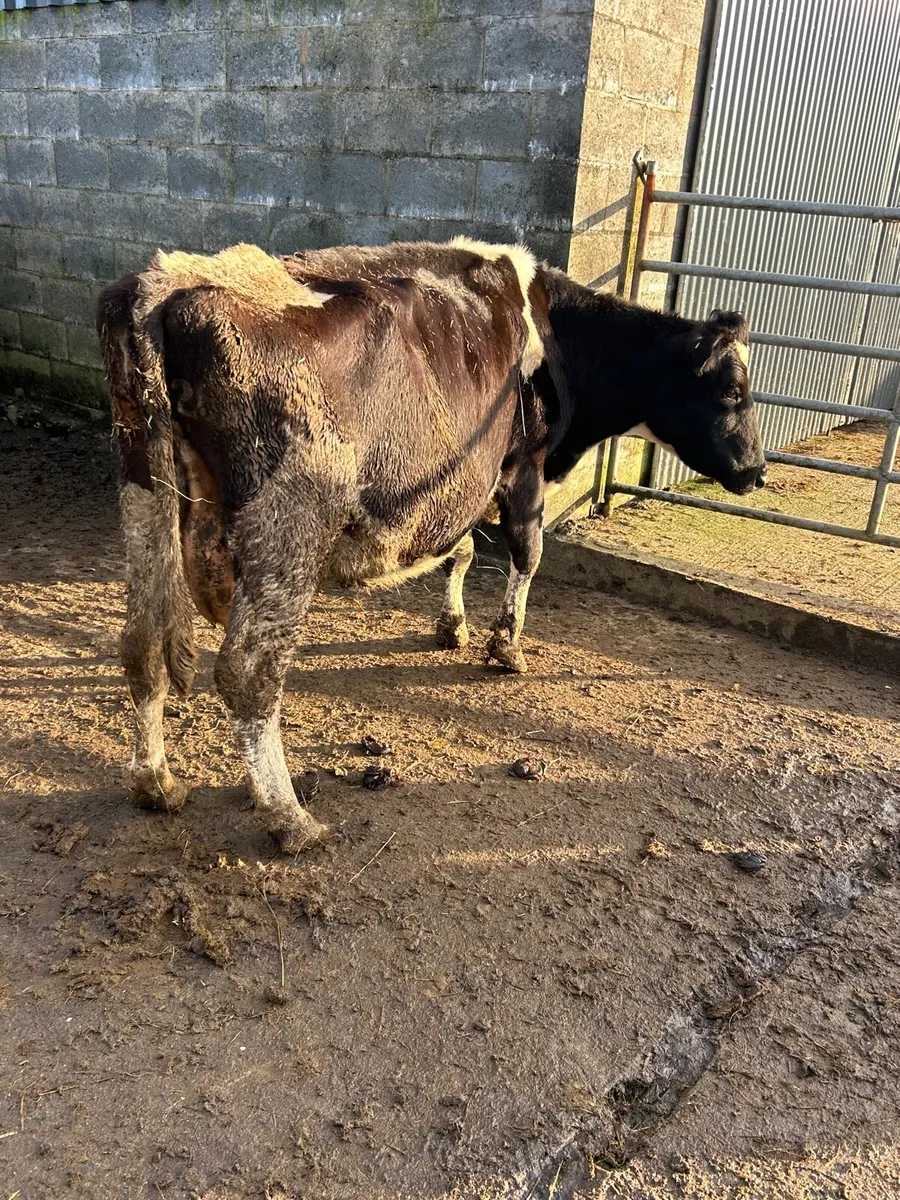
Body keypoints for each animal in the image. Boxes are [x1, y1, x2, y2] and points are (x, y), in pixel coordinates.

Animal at [97, 238, 765, 853]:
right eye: (733, 390)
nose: (757, 471)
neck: (560, 336)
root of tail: (165, 283)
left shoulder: (462, 478)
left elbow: (461, 550)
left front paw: (453, 626)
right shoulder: (522, 468)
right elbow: (527, 555)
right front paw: (506, 647)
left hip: (143, 492)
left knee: (142, 642)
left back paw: (156, 783)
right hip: (288, 520)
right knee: (247, 672)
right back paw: (290, 819)